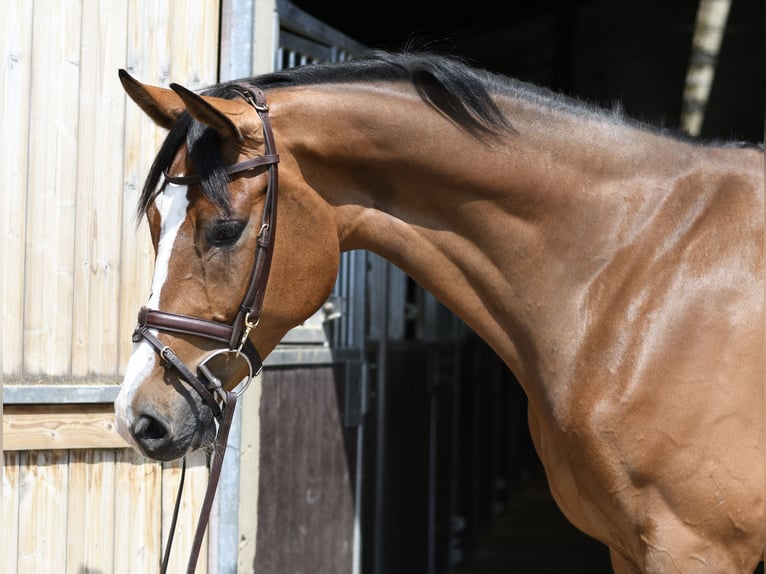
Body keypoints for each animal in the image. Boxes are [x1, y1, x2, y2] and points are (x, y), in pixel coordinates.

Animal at [113, 51, 764, 573]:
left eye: (225, 230)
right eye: (155, 222)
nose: (137, 417)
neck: (642, 266)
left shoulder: (692, 547)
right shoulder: (625, 547)